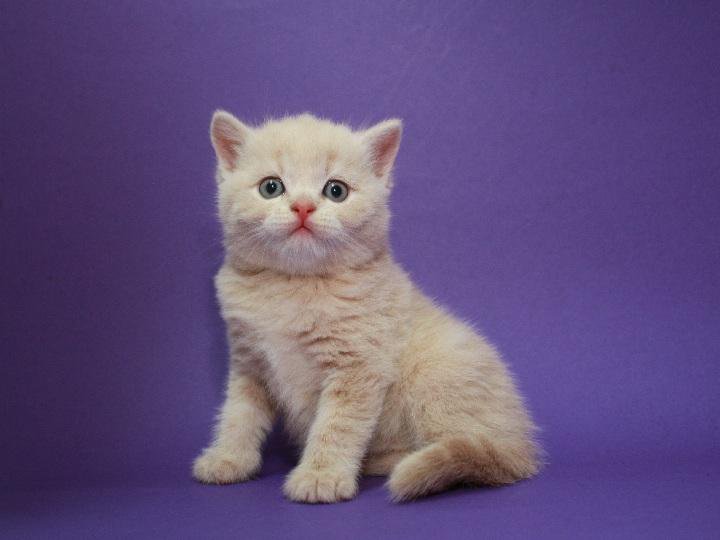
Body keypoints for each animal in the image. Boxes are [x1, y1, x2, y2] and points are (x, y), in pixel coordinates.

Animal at [192, 111, 541, 503]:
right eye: (271, 187)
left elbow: (336, 426)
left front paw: (321, 476)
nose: (303, 207)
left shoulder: (358, 368)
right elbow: (239, 415)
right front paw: (227, 458)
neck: (295, 287)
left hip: (436, 374)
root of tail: (521, 442)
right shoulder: (249, 363)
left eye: (336, 190)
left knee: (479, 451)